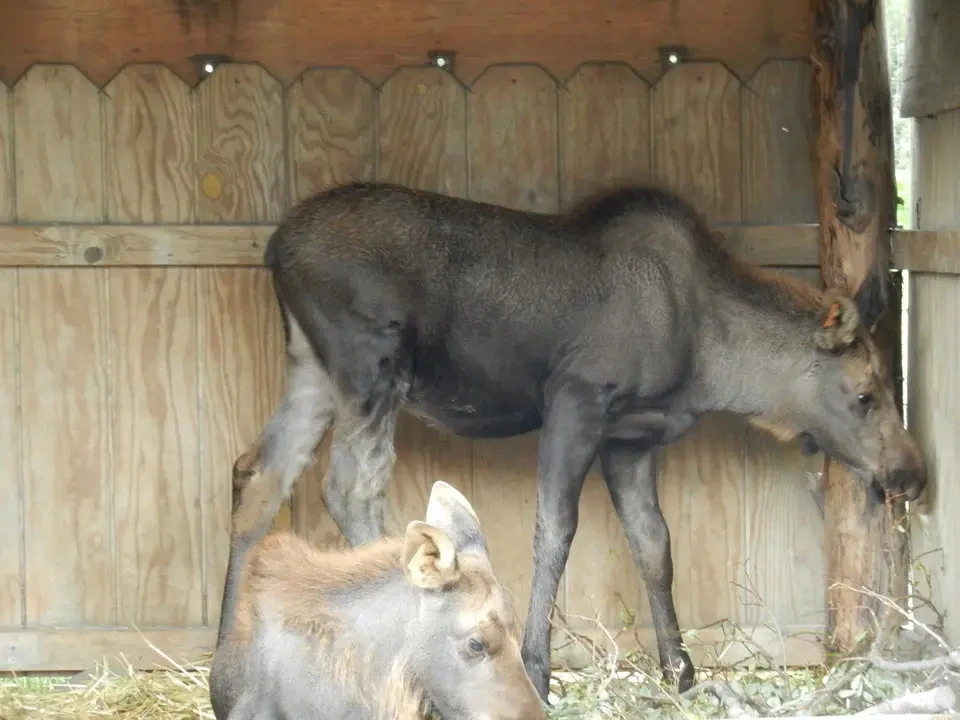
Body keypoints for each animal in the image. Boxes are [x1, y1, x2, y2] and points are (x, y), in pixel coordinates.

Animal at [223, 181, 928, 703]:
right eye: (865, 395)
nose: (912, 473)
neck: (709, 358)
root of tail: (274, 250)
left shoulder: (632, 438)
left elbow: (654, 545)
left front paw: (679, 670)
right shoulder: (575, 401)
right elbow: (555, 533)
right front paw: (537, 671)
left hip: (311, 369)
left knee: (256, 475)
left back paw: (231, 664)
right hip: (372, 365)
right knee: (349, 486)